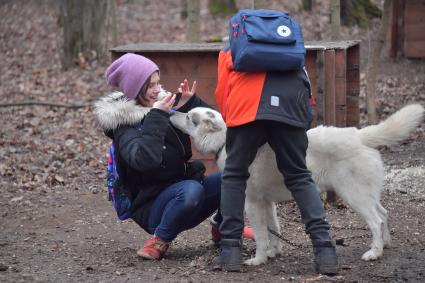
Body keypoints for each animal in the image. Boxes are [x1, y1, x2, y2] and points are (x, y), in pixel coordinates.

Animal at [170, 103, 424, 266]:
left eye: (188, 116)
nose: (171, 112)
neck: (223, 141)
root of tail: (360, 135)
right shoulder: (267, 203)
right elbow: (274, 230)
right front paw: (274, 253)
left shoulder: (251, 203)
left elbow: (261, 235)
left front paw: (259, 259)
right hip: (366, 194)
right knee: (384, 214)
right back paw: (386, 245)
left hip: (353, 195)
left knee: (376, 221)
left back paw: (374, 253)